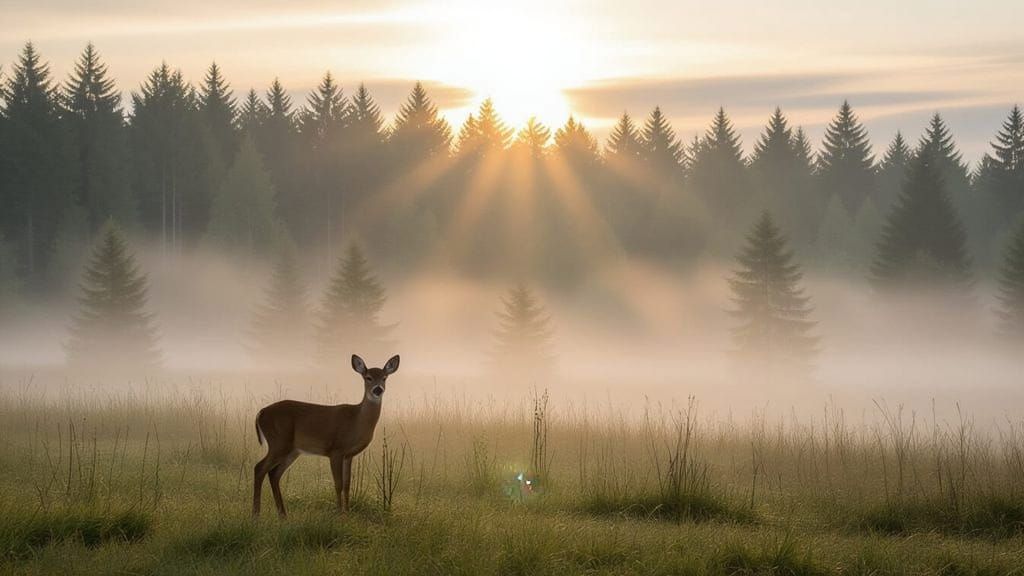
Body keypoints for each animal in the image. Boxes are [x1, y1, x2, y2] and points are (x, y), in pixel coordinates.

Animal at [253, 354, 399, 518]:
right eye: (368, 377)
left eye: (384, 378)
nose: (378, 389)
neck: (356, 420)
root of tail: (260, 413)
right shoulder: (336, 450)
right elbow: (338, 484)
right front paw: (339, 514)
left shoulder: (348, 455)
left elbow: (347, 484)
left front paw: (347, 513)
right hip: (278, 442)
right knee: (259, 468)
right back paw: (256, 515)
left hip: (292, 450)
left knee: (274, 474)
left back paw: (283, 515)